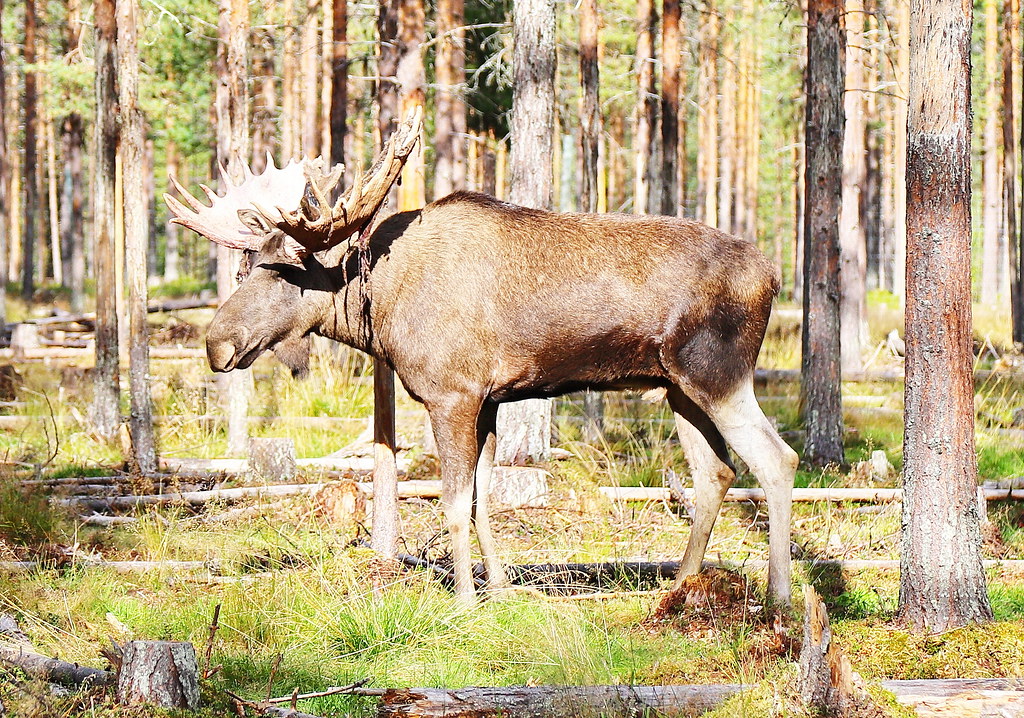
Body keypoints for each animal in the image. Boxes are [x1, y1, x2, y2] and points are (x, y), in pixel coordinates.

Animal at [165, 110, 799, 607]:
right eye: (247, 267)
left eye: (283, 272)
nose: (217, 344)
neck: (380, 307)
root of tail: (772, 276)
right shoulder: (491, 398)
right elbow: (481, 500)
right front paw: (497, 589)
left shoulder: (451, 393)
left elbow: (451, 503)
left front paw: (465, 601)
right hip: (677, 388)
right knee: (716, 473)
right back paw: (680, 587)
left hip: (718, 374)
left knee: (777, 460)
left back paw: (777, 597)